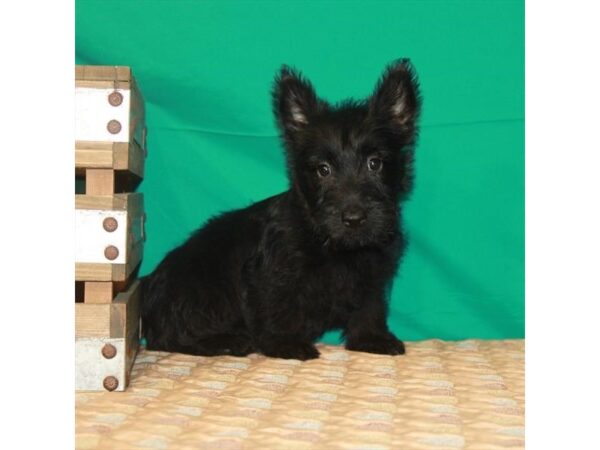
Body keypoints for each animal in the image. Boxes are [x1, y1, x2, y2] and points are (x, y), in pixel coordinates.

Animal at [141, 60, 422, 362]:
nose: (354, 219)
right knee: (170, 335)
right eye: (323, 169)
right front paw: (285, 342)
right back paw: (227, 341)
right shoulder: (271, 273)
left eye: (375, 163)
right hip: (203, 288)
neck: (334, 244)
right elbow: (277, 303)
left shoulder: (373, 272)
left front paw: (371, 338)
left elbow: (370, 305)